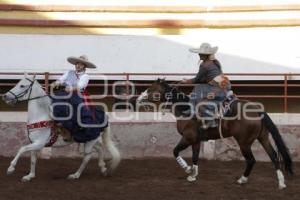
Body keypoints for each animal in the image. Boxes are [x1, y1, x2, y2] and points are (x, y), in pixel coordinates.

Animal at [138, 78, 292, 189]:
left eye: (151, 88)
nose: (138, 98)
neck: (186, 110)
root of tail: (257, 110)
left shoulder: (188, 138)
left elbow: (175, 151)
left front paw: (187, 169)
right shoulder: (196, 141)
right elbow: (195, 157)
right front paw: (193, 175)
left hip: (244, 142)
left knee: (251, 160)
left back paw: (242, 179)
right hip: (263, 137)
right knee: (273, 156)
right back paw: (281, 183)